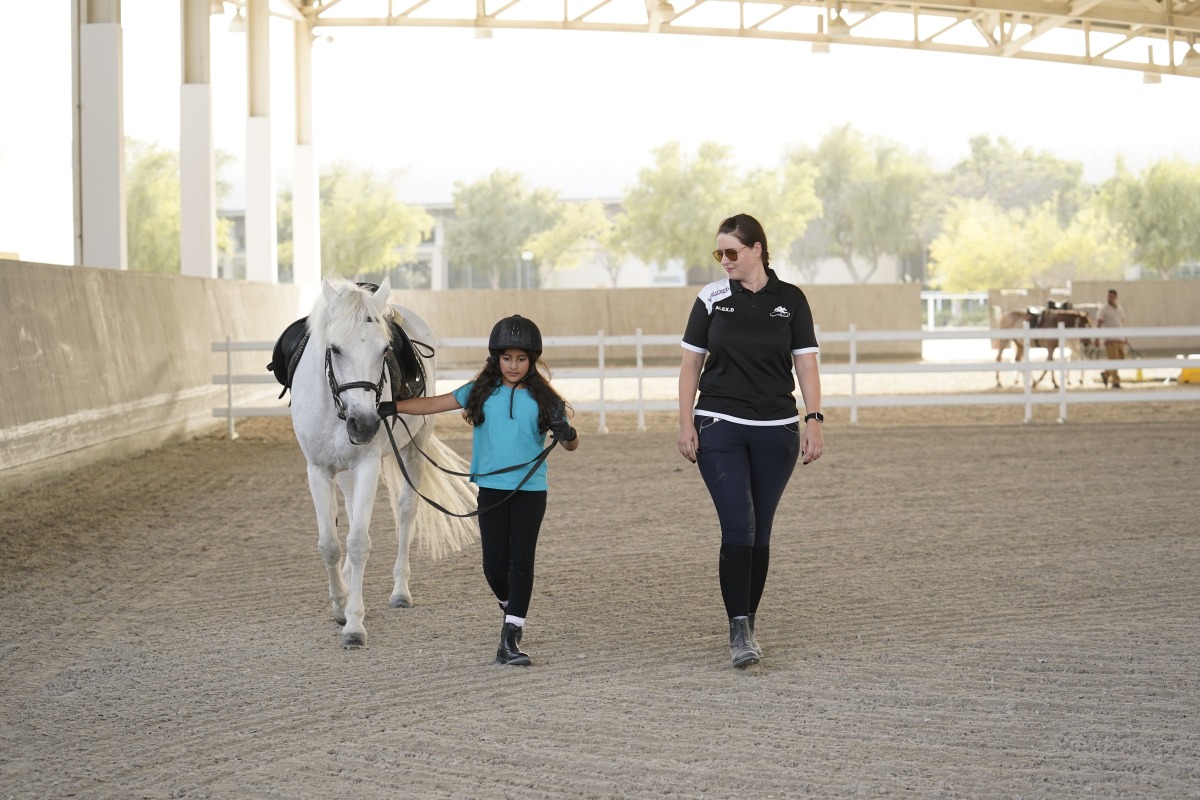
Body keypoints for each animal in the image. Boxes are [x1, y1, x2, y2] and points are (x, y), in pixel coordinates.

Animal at [288, 278, 475, 647]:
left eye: (383, 350)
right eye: (335, 349)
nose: (364, 424)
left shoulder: (368, 466)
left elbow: (359, 542)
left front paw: (354, 624)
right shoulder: (318, 471)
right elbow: (329, 544)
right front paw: (340, 605)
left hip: (416, 447)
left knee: (405, 512)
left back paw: (400, 591)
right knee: (348, 513)